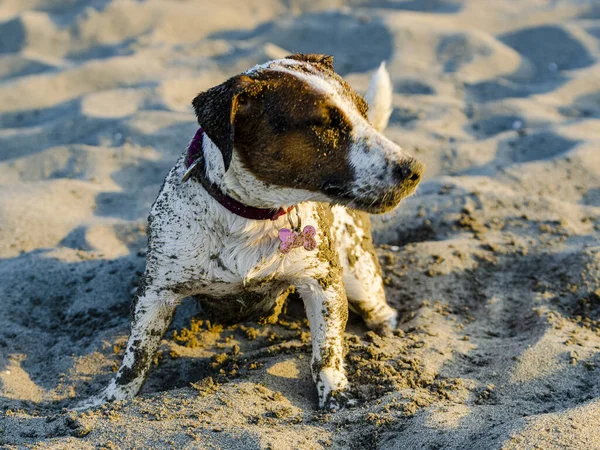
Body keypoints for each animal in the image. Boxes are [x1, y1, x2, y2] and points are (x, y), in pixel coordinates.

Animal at [82, 52, 424, 412]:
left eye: (363, 111)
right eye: (322, 124)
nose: (414, 169)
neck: (253, 217)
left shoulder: (323, 282)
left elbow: (327, 351)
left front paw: (336, 392)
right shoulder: (156, 292)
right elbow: (136, 356)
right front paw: (110, 399)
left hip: (358, 276)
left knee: (377, 305)